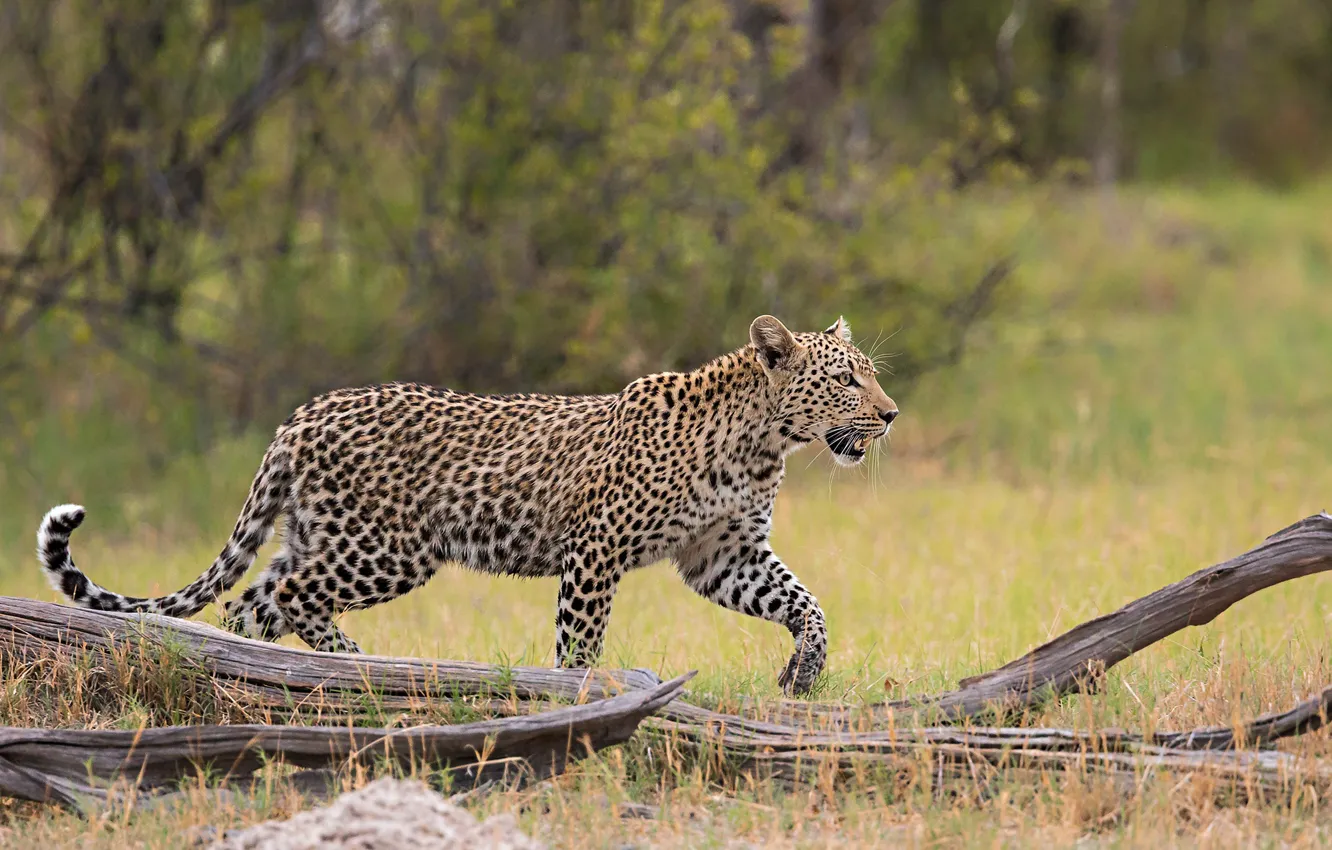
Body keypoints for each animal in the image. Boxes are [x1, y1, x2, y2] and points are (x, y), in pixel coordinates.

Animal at [36, 314, 898, 695]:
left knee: (253, 603)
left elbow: (807, 602)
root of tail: (301, 416)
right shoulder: (596, 550)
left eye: (869, 374)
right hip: (387, 549)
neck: (763, 443)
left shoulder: (723, 555)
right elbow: (579, 643)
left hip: (320, 535)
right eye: (846, 378)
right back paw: (352, 666)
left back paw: (292, 675)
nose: (891, 414)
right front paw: (572, 704)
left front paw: (804, 672)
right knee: (286, 597)